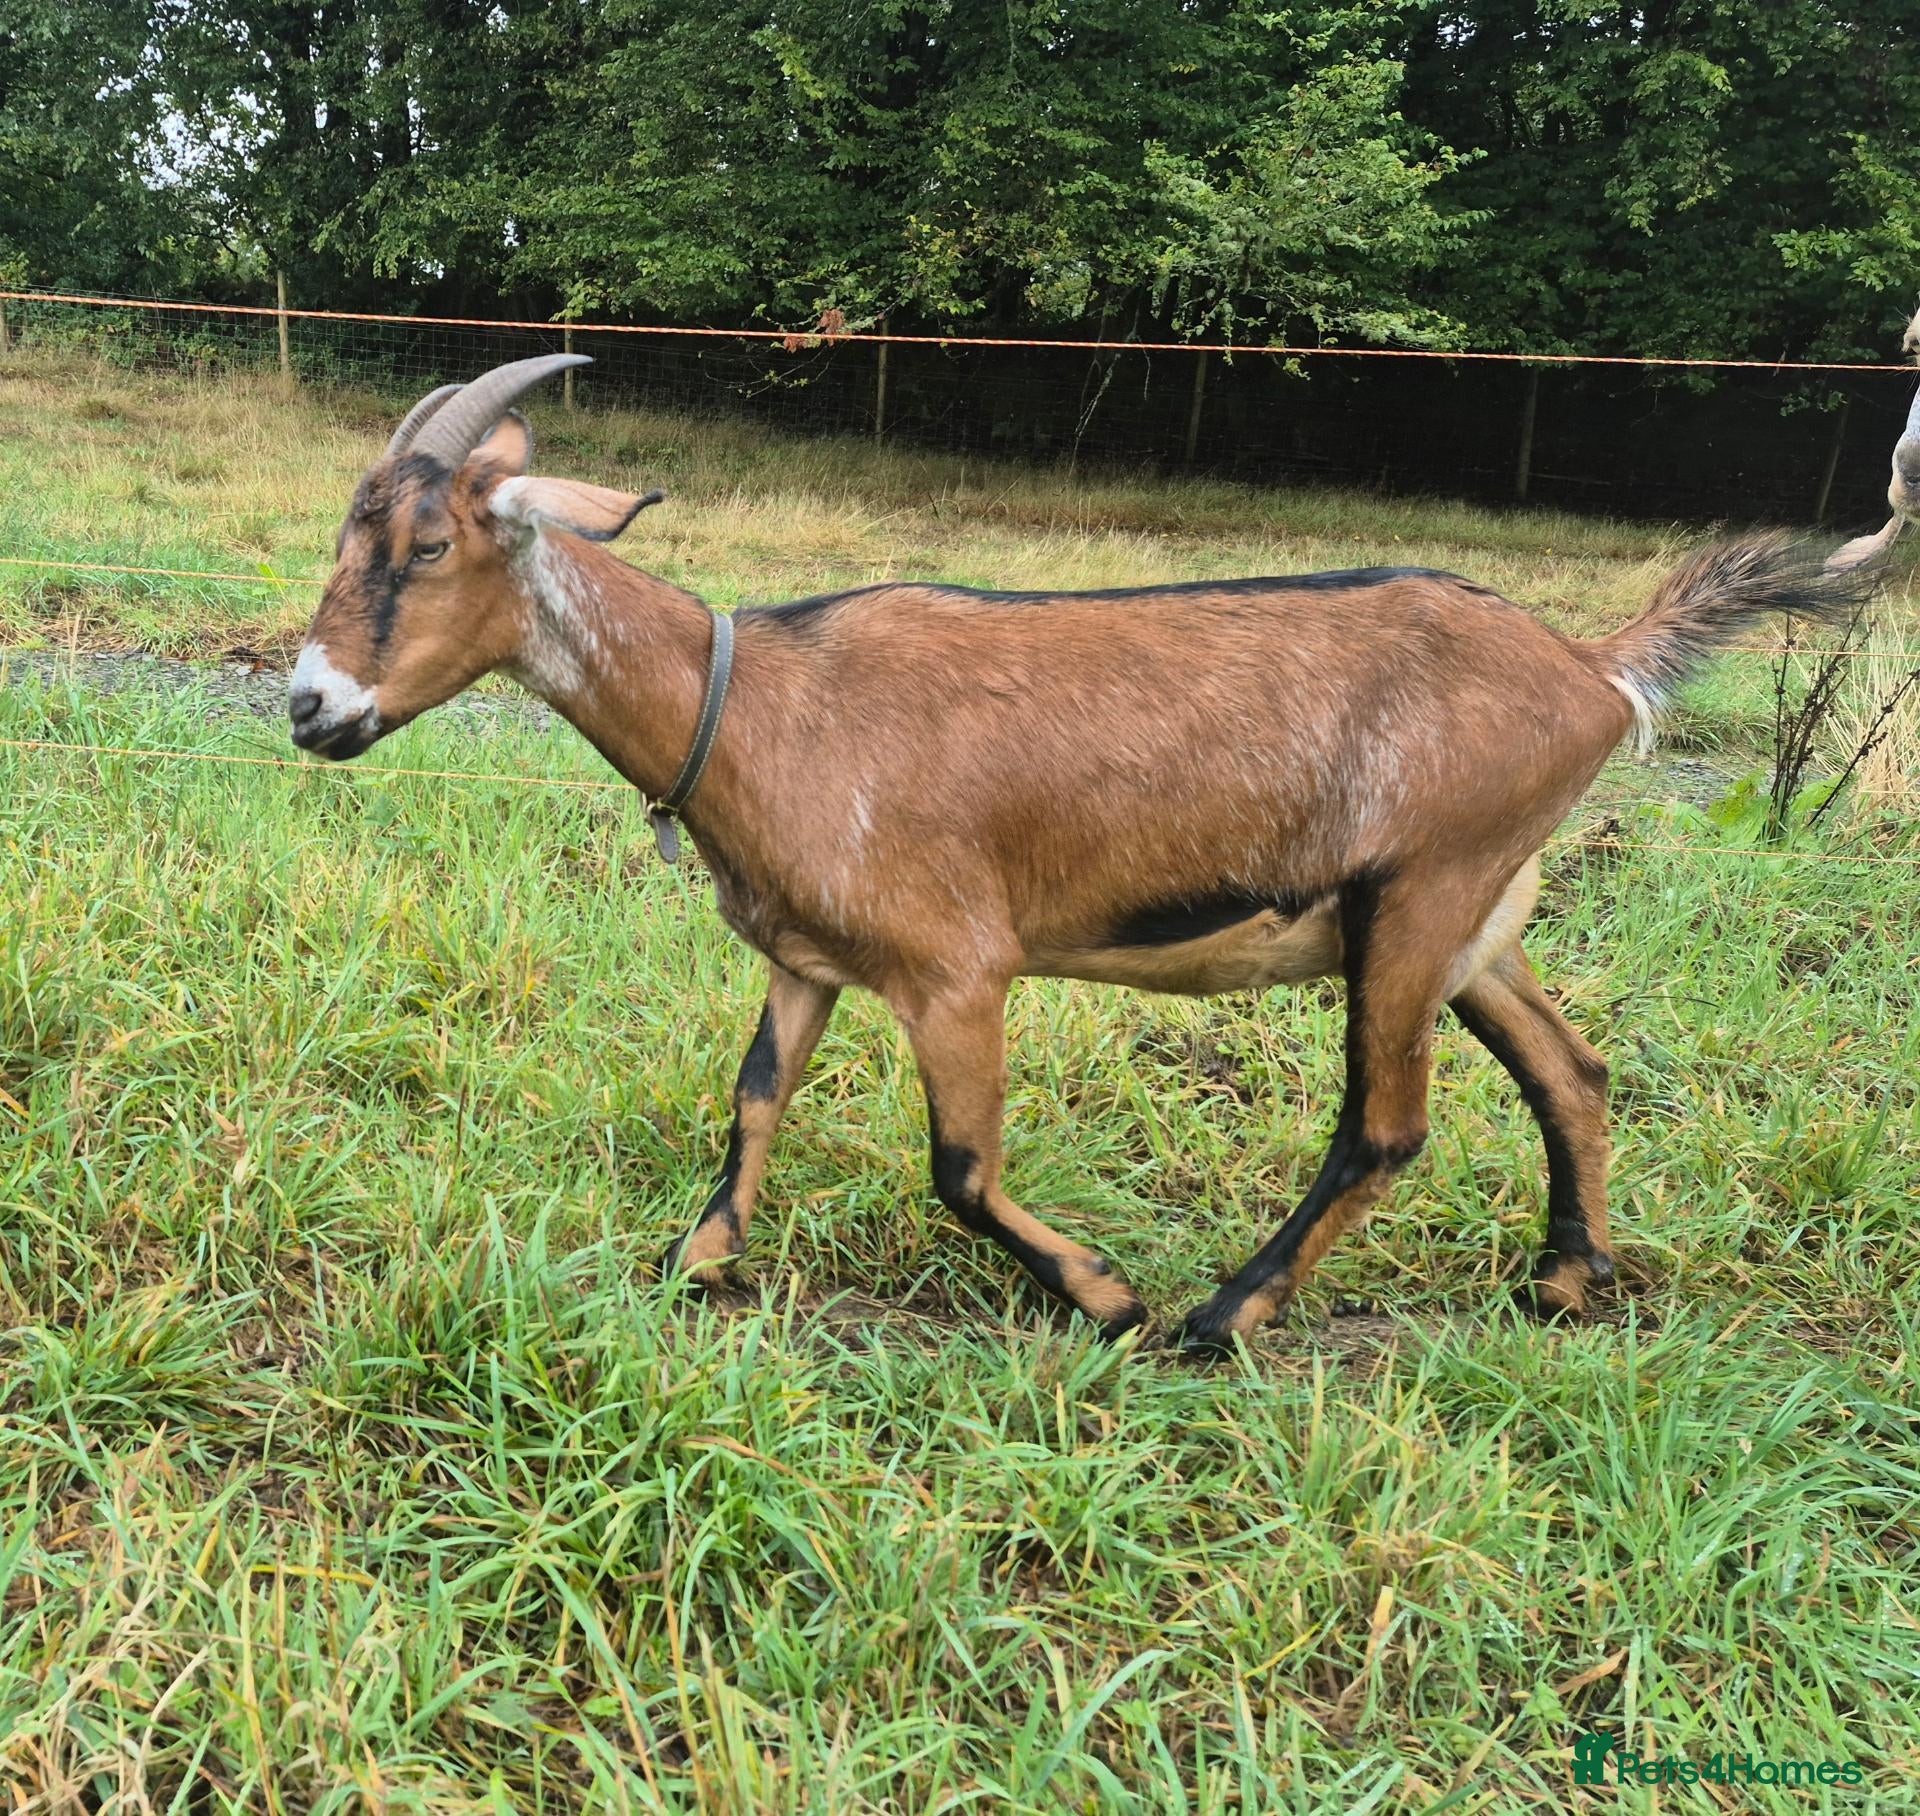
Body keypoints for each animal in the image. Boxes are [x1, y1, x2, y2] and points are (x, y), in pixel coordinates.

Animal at [289, 356, 1876, 1351]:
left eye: (429, 547)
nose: (310, 705)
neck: (761, 704)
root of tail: (1592, 668)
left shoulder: (956, 968)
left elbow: (959, 1164)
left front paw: (1102, 1297)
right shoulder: (808, 959)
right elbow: (751, 1101)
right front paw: (696, 1267)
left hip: (1417, 896)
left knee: (1385, 1125)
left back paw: (1222, 1318)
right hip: (1475, 914)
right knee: (1572, 1068)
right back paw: (1565, 1280)